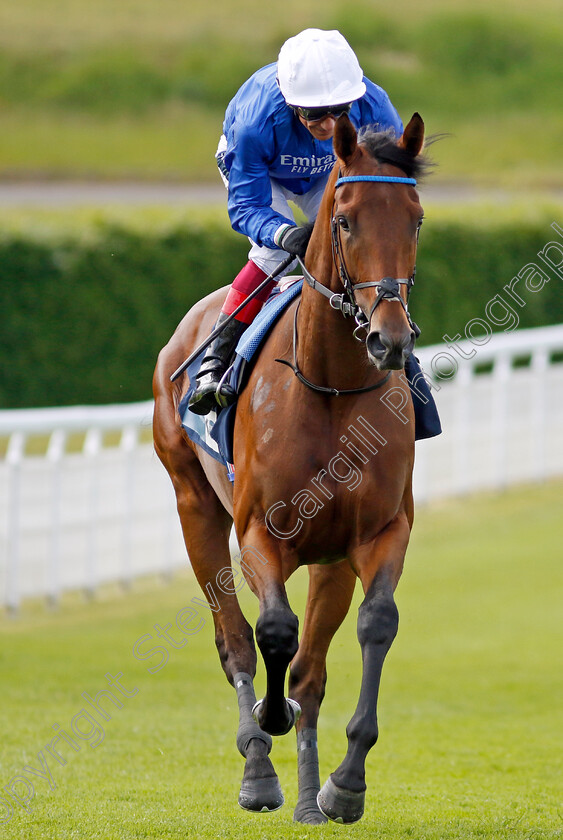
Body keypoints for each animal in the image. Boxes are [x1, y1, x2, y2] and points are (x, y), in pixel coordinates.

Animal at [153, 113, 428, 828]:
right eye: (346, 220)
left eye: (415, 218)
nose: (390, 340)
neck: (331, 387)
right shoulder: (260, 533)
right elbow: (272, 631)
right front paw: (270, 721)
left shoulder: (379, 531)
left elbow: (374, 625)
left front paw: (345, 784)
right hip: (194, 506)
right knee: (234, 640)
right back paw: (260, 771)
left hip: (329, 557)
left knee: (311, 666)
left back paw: (306, 795)